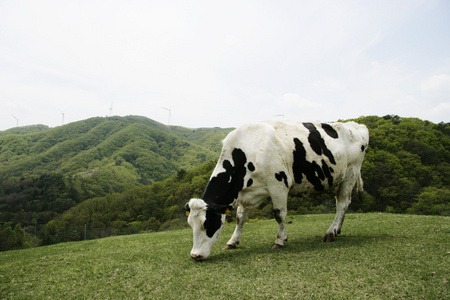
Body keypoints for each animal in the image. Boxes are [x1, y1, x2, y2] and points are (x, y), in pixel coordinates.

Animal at [185, 119, 368, 260]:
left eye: (208, 224)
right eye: (190, 224)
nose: (195, 255)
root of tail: (355, 125)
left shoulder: (278, 185)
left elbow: (279, 214)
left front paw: (279, 240)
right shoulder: (245, 192)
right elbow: (240, 218)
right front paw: (232, 241)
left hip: (350, 173)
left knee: (342, 204)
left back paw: (330, 232)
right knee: (343, 203)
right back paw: (337, 230)